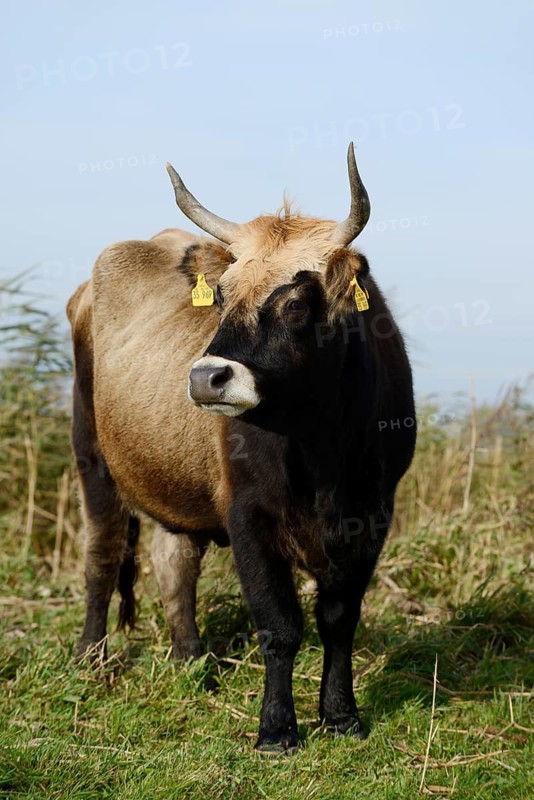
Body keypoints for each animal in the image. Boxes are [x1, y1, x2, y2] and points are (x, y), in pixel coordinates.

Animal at [67, 143, 416, 754]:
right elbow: (279, 625)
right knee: (103, 554)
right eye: (223, 296)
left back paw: (189, 661)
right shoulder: (249, 516)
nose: (206, 377)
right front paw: (276, 729)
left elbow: (339, 619)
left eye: (297, 302)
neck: (323, 451)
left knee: (174, 562)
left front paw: (341, 717)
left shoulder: (372, 515)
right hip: (93, 457)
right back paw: (92, 659)